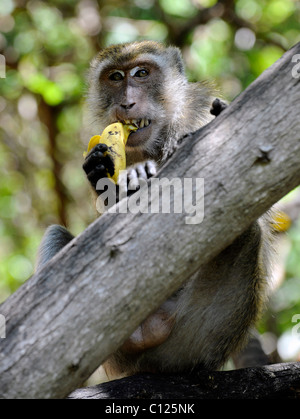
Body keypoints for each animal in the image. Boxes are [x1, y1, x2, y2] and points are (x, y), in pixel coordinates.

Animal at [36, 41, 274, 380]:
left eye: (141, 73)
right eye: (115, 77)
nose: (127, 102)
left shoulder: (199, 115)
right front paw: (102, 174)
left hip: (196, 341)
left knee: (247, 232)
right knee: (59, 237)